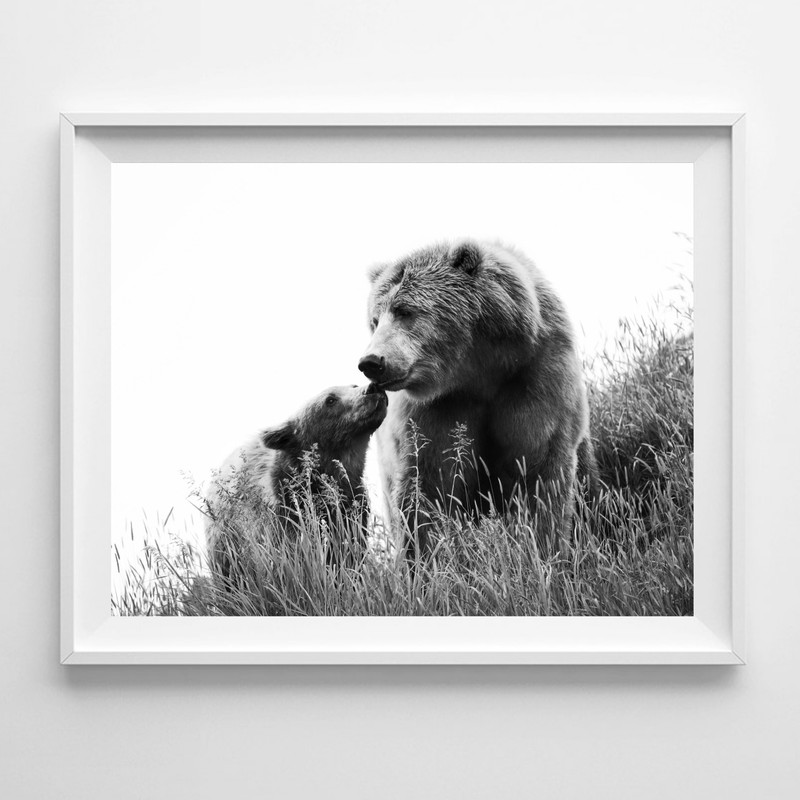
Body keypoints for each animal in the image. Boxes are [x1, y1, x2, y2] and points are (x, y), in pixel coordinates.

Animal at [205, 383, 388, 580]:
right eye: (330, 400)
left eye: (353, 385)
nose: (372, 388)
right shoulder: (283, 514)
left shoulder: (353, 509)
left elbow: (349, 554)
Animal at [358, 240, 597, 556]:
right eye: (374, 320)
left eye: (404, 310)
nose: (371, 362)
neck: (478, 370)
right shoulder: (437, 410)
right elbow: (429, 487)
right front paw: (428, 556)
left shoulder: (535, 377)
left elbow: (539, 472)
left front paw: (542, 547)